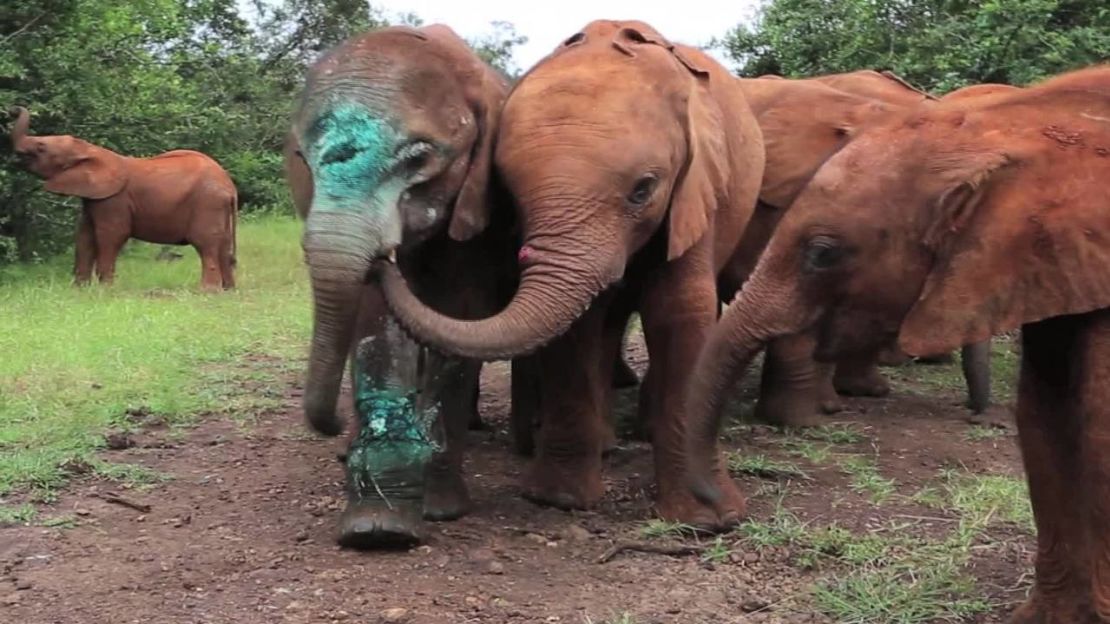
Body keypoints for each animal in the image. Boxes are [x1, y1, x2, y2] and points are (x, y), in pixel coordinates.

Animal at [8, 106, 238, 288]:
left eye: (41, 147)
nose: (13, 109)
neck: (90, 149)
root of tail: (230, 186)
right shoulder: (93, 197)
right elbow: (84, 236)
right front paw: (80, 290)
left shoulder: (114, 200)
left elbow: (111, 235)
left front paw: (105, 290)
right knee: (223, 245)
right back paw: (227, 290)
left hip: (207, 202)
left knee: (206, 244)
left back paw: (207, 292)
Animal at [377, 19, 768, 524]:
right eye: (510, 193)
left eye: (644, 190)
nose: (384, 254)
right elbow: (578, 324)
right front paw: (558, 500)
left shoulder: (696, 190)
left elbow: (680, 313)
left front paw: (709, 519)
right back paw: (606, 446)